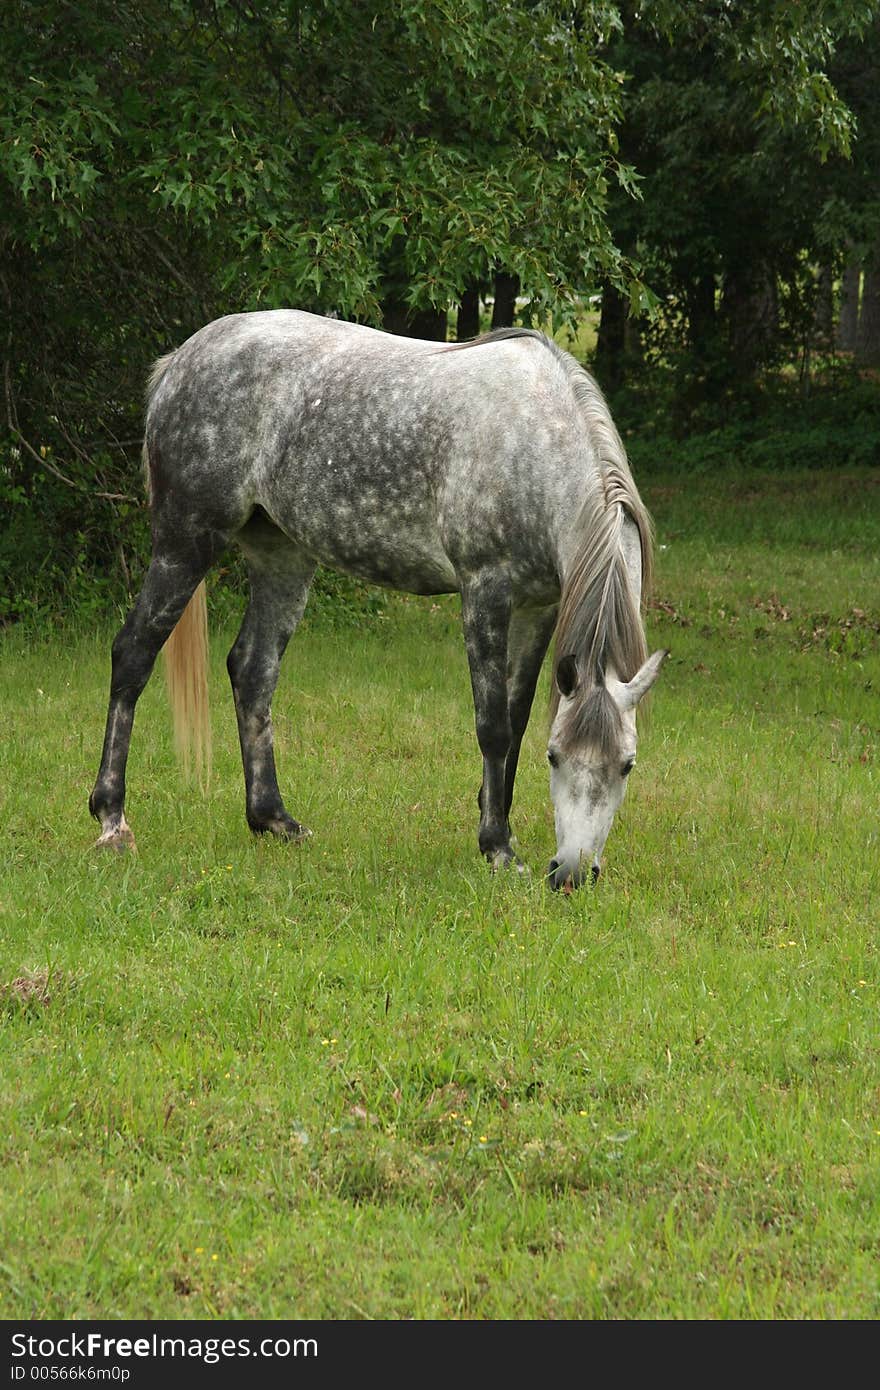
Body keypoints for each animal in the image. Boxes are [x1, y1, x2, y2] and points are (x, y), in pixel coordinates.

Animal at [91, 309, 664, 884]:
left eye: (627, 765)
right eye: (557, 758)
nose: (571, 874)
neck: (534, 446)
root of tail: (180, 360)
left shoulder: (538, 608)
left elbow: (517, 720)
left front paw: (497, 825)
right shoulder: (485, 593)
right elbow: (493, 727)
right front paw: (497, 847)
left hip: (281, 555)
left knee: (253, 671)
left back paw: (273, 820)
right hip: (186, 541)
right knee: (132, 654)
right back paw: (112, 821)